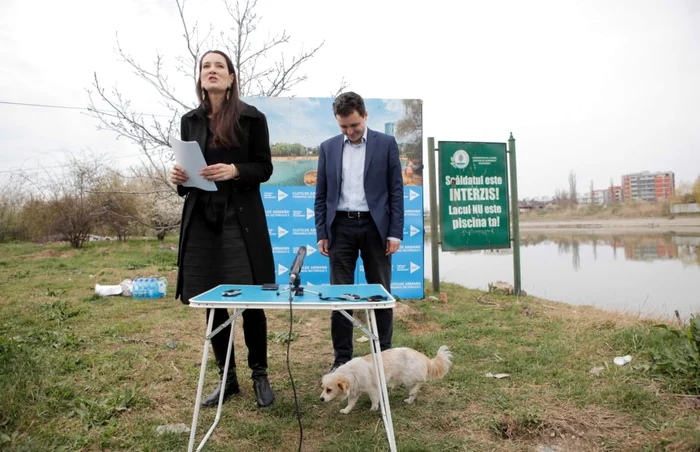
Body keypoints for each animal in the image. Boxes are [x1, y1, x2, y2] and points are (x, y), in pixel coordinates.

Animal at [318, 346, 452, 414]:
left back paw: (413, 392)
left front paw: (373, 408)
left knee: (421, 382)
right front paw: (346, 410)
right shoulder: (354, 392)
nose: (321, 399)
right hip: (408, 381)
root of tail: (423, 357)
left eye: (329, 390)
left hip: (407, 378)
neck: (351, 373)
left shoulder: (372, 389)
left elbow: (374, 400)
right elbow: (350, 403)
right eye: (323, 388)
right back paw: (409, 400)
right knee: (414, 391)